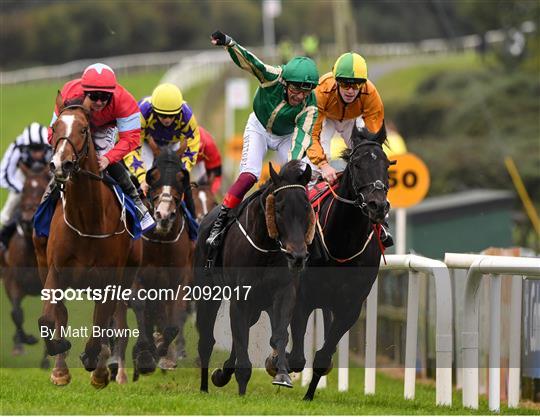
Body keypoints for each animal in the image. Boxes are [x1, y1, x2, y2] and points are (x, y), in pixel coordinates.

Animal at [33, 92, 141, 386]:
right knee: (63, 315)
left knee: (115, 321)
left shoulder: (109, 279)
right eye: (55, 127)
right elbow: (48, 318)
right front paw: (59, 350)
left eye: (83, 129)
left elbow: (100, 325)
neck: (86, 219)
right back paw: (60, 370)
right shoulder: (55, 272)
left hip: (127, 275)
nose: (61, 164)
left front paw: (95, 363)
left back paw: (110, 370)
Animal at [130, 148, 193, 378]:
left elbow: (173, 322)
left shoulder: (179, 281)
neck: (160, 242)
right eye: (152, 176)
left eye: (181, 178)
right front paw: (145, 355)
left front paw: (164, 354)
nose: (164, 214)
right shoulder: (137, 278)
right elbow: (140, 306)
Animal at [195, 161, 314, 394]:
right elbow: (241, 339)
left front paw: (282, 374)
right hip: (207, 292)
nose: (297, 256)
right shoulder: (241, 298)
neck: (266, 248)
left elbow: (279, 335)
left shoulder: (284, 292)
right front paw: (242, 389)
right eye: (279, 209)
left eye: (306, 207)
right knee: (206, 340)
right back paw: (204, 387)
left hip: (258, 305)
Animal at [284, 120, 394, 400]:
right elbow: (296, 354)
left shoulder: (350, 306)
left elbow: (324, 356)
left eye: (387, 165)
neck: (343, 242)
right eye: (357, 164)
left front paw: (309, 394)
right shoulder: (303, 296)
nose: (378, 206)